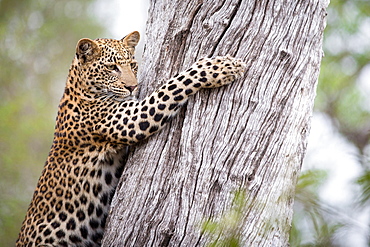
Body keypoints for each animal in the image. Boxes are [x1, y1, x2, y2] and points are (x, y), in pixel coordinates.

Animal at [15, 31, 246, 247]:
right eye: (112, 67)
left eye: (133, 65)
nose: (133, 87)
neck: (79, 87)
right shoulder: (133, 117)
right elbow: (173, 85)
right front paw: (221, 67)